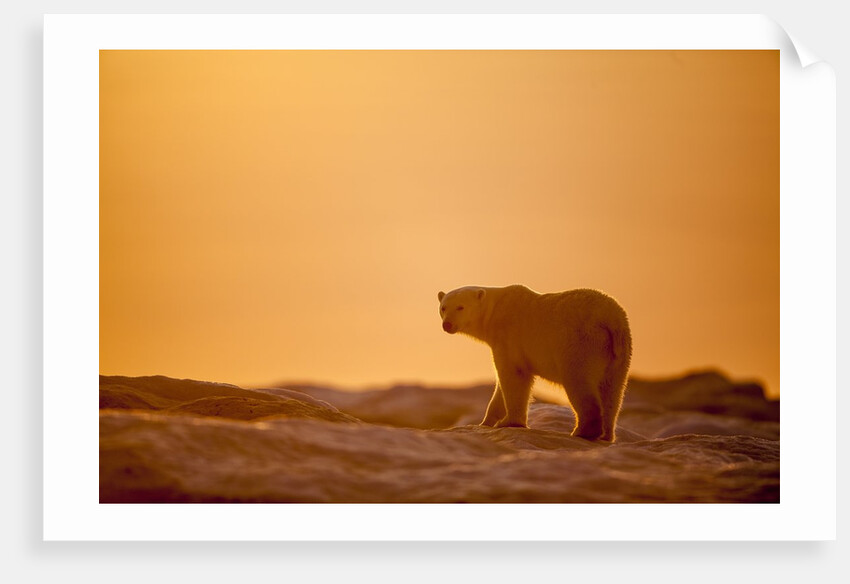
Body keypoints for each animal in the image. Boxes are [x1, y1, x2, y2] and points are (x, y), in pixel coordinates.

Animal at [437, 285, 632, 441]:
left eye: (461, 307)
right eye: (443, 307)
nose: (447, 324)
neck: (495, 310)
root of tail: (612, 318)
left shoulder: (509, 335)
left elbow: (513, 375)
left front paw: (509, 422)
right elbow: (501, 385)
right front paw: (486, 422)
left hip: (581, 342)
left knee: (579, 381)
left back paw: (583, 431)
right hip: (618, 353)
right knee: (613, 390)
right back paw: (607, 435)